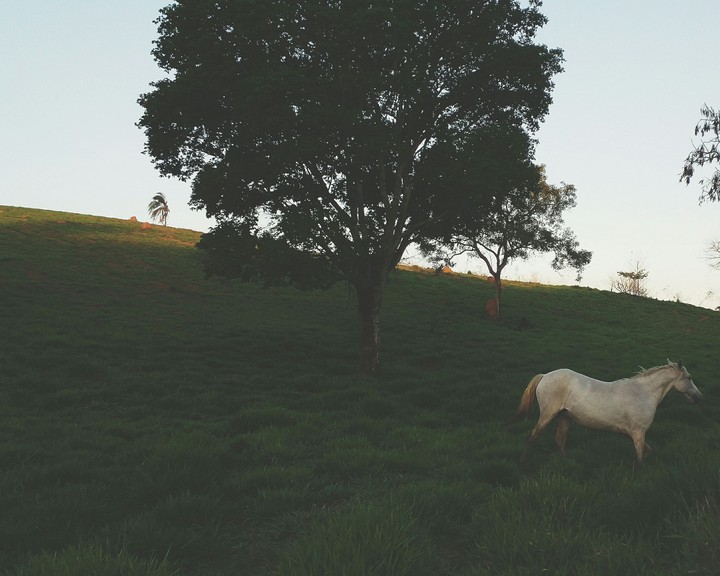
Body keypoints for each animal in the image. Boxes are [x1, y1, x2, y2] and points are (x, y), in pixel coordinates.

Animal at [512, 361, 702, 465]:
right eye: (689, 378)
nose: (699, 397)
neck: (643, 393)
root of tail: (544, 376)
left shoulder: (635, 434)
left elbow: (648, 451)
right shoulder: (638, 433)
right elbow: (640, 458)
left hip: (564, 417)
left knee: (560, 439)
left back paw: (567, 460)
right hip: (548, 415)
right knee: (533, 436)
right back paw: (522, 461)